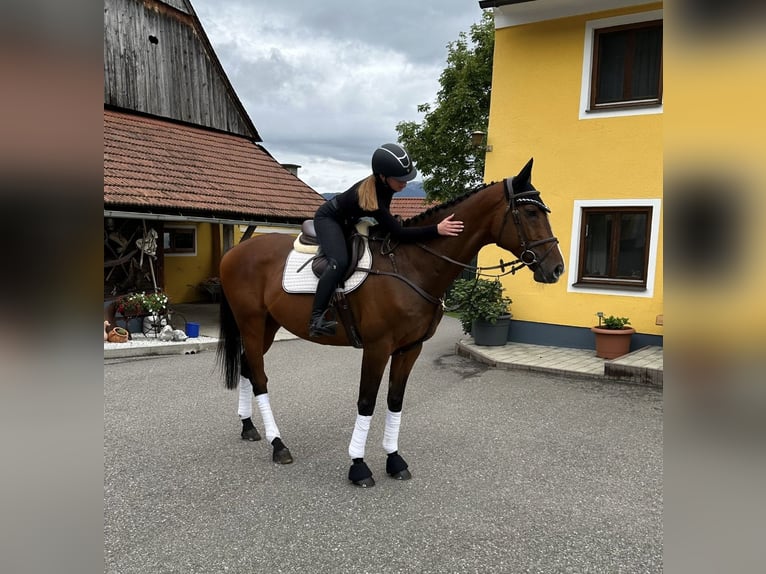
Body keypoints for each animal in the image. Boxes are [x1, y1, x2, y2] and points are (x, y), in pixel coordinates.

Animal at [219, 160, 568, 488]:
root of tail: (236, 251)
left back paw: (249, 427)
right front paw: (358, 466)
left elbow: (395, 400)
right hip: (251, 323)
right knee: (260, 376)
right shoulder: (377, 348)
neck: (412, 266)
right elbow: (366, 401)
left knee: (248, 367)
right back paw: (278, 444)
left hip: (267, 325)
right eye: (531, 212)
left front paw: (394, 459)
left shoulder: (409, 348)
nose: (556, 269)